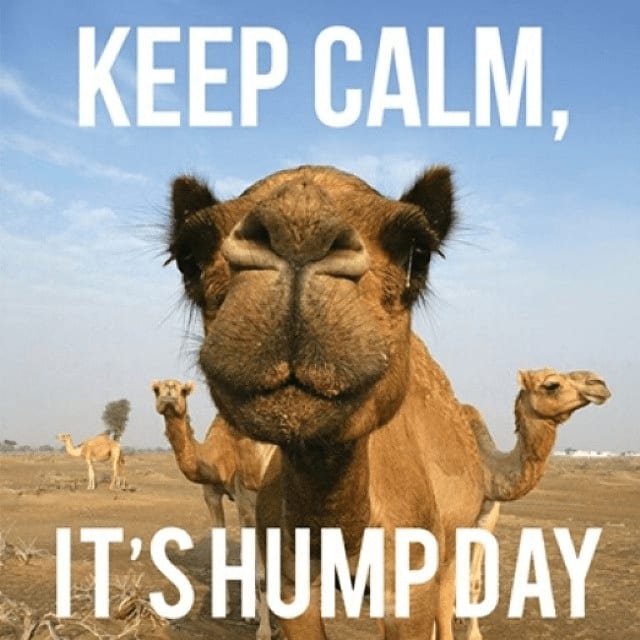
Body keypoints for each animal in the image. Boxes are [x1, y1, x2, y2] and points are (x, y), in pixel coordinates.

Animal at [151, 378, 278, 639]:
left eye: (183, 390)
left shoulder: (248, 501)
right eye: (156, 389)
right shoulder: (213, 494)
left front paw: (263, 628)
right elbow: (228, 552)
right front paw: (235, 609)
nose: (169, 392)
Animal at [461, 367, 611, 640]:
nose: (599, 384)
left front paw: (473, 632)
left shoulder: (487, 517)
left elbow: (474, 580)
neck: (486, 466)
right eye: (551, 385)